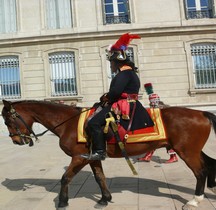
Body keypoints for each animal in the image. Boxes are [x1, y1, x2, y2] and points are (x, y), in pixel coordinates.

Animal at [1, 99, 216, 210]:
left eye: (8, 121)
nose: (16, 140)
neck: (68, 122)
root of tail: (201, 113)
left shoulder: (78, 158)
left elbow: (65, 178)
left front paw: (62, 202)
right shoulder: (92, 157)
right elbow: (99, 177)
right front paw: (104, 198)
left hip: (187, 152)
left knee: (200, 172)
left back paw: (195, 200)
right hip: (193, 150)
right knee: (210, 164)